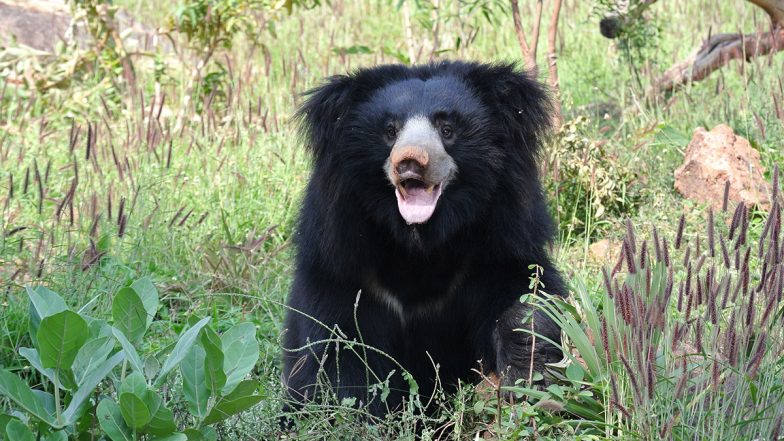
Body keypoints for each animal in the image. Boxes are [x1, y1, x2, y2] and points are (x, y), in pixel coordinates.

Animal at [282, 61, 566, 417]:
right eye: (390, 131)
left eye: (447, 129)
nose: (410, 161)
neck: (420, 241)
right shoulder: (340, 260)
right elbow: (337, 347)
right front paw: (356, 411)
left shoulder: (498, 242)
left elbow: (525, 293)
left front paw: (526, 367)